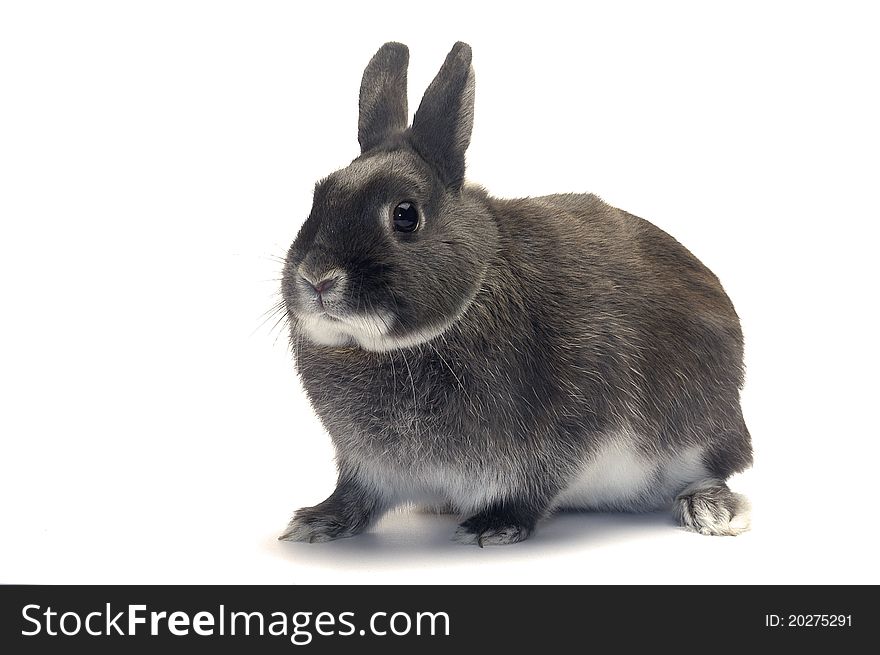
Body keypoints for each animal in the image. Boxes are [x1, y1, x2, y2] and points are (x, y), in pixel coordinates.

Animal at [278, 38, 752, 544]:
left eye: (405, 216)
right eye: (318, 197)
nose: (318, 278)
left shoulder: (560, 435)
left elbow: (532, 487)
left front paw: (492, 526)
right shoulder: (368, 466)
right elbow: (357, 497)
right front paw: (316, 521)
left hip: (700, 431)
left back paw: (711, 510)